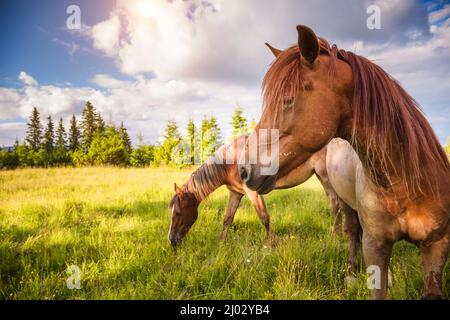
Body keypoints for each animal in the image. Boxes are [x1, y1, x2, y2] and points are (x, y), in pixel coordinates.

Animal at [168, 134, 342, 246]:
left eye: (178, 213)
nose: (171, 240)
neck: (230, 161)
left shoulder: (252, 192)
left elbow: (264, 217)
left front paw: (272, 243)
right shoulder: (235, 193)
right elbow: (227, 218)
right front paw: (221, 242)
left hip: (325, 177)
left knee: (336, 206)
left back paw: (336, 238)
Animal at [237, 25, 448, 300]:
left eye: (288, 99)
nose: (243, 170)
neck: (405, 182)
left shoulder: (437, 246)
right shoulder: (375, 246)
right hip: (347, 205)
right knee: (351, 232)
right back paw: (351, 274)